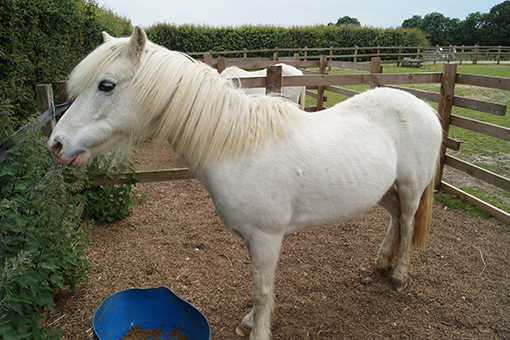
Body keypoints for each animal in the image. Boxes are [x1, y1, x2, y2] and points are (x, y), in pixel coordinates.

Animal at [49, 27, 444, 340]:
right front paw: (250, 322)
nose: (56, 144)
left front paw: (258, 330)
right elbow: (256, 286)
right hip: (384, 191)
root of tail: (423, 107)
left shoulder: (267, 238)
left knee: (408, 222)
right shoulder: (253, 241)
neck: (238, 145)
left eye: (106, 85)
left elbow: (262, 290)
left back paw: (399, 275)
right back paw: (381, 263)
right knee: (395, 218)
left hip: (410, 188)